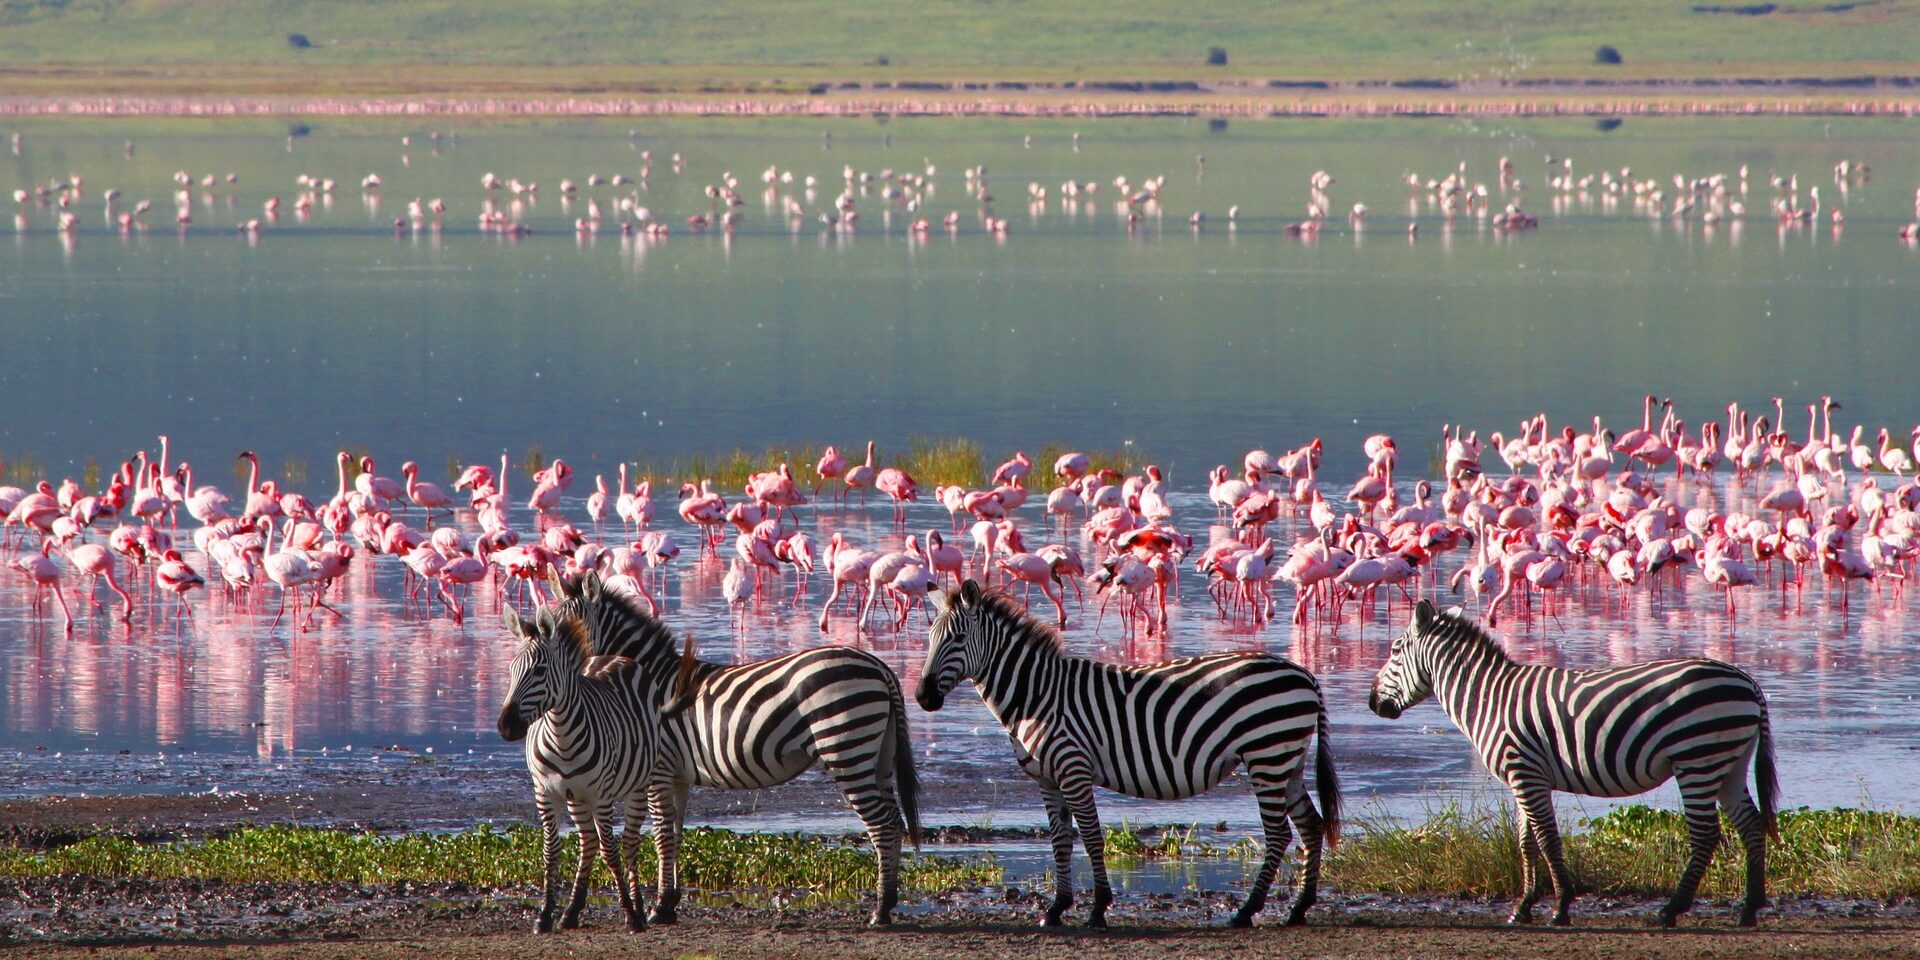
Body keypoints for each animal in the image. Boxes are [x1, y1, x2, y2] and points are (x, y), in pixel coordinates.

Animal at [497, 605, 662, 934]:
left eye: (539, 671)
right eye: (510, 670)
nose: (506, 727)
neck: (561, 734)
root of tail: (612, 656)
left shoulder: (601, 796)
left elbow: (611, 850)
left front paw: (630, 913)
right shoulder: (545, 792)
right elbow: (551, 850)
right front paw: (545, 914)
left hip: (638, 786)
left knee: (629, 843)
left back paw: (638, 907)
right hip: (576, 796)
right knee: (588, 842)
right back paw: (572, 911)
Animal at [549, 570, 922, 927]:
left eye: (569, 630)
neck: (647, 684)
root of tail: (880, 667)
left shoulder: (659, 771)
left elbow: (661, 835)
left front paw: (658, 907)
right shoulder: (678, 775)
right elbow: (676, 832)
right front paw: (670, 903)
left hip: (846, 748)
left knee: (881, 824)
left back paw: (880, 911)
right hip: (878, 754)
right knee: (893, 820)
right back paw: (887, 903)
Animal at [916, 579, 1340, 929]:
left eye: (957, 638)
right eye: (930, 637)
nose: (922, 697)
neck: (1036, 696)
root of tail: (1305, 674)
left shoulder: (1073, 768)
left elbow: (1090, 837)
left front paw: (1098, 908)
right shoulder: (1047, 779)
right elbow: (1060, 840)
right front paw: (1056, 908)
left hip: (1266, 755)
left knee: (1279, 833)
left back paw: (1247, 911)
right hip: (1287, 760)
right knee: (1310, 825)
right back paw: (1299, 908)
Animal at [1369, 599, 1779, 927]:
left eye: (1394, 651)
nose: (1372, 703)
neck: (1490, 698)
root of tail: (1747, 681)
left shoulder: (1526, 774)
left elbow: (1547, 839)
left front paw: (1561, 906)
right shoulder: (1522, 778)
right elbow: (1525, 842)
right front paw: (1523, 907)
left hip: (1697, 758)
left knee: (1706, 834)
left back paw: (1671, 910)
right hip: (1728, 762)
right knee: (1751, 825)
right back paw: (1749, 909)